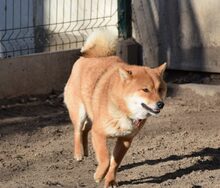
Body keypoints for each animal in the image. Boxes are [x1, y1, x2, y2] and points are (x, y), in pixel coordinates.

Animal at [63, 29, 167, 187]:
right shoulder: (99, 133)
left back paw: (86, 151)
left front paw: (110, 180)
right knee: (77, 130)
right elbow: (106, 159)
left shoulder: (125, 140)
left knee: (85, 130)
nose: (161, 104)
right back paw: (79, 153)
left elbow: (114, 163)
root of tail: (89, 57)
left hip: (91, 115)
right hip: (80, 112)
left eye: (160, 89)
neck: (123, 110)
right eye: (145, 90)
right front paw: (99, 175)